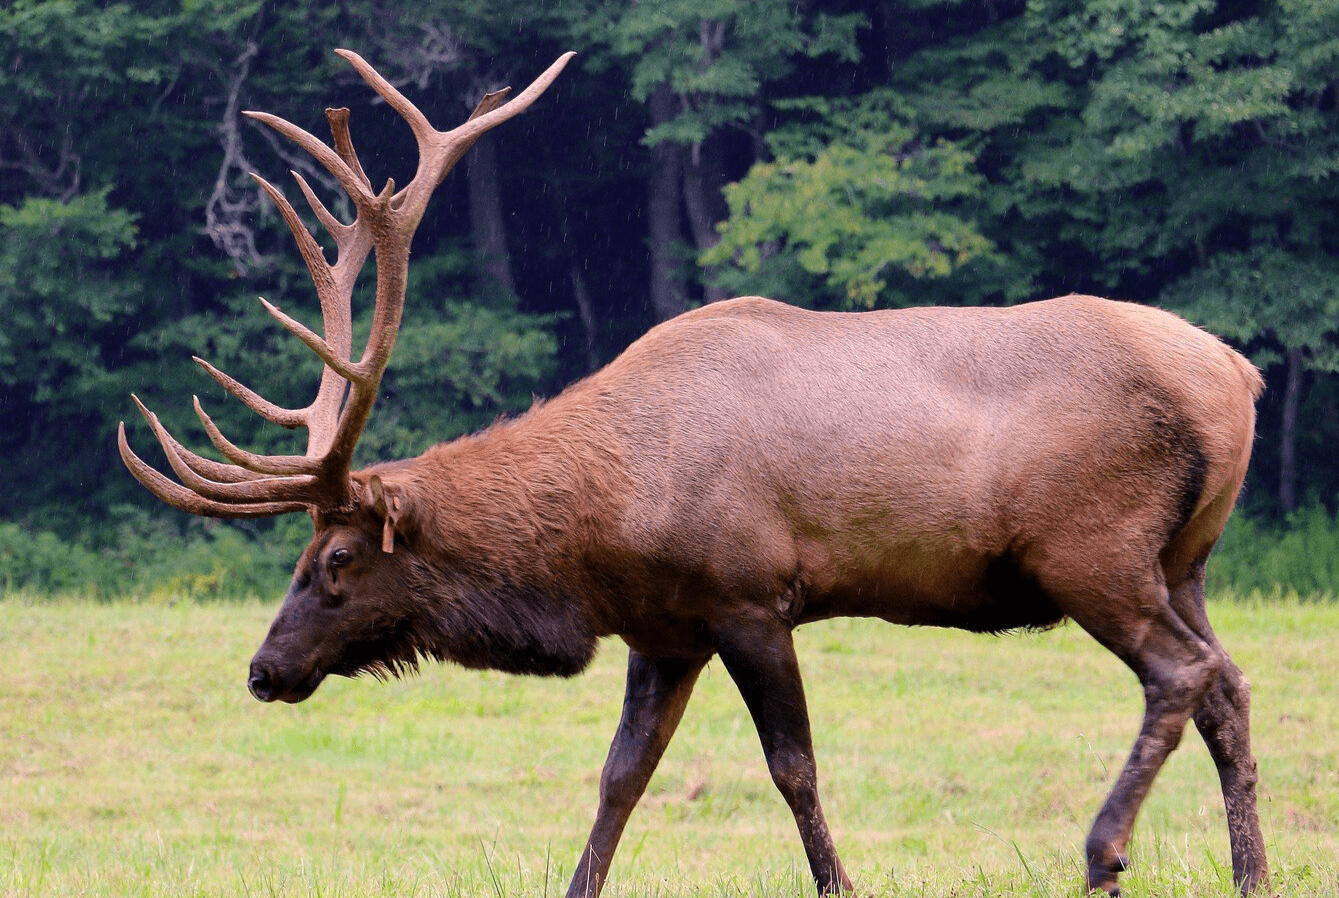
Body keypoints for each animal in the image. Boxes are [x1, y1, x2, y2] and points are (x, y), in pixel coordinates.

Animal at [119, 48, 1269, 898]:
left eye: (336, 560)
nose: (265, 669)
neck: (597, 533)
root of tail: (1239, 379)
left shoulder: (747, 595)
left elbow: (792, 767)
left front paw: (841, 885)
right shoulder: (662, 628)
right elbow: (619, 778)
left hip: (1091, 547)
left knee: (1180, 674)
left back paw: (1103, 852)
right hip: (1186, 559)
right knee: (1228, 683)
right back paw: (1250, 874)